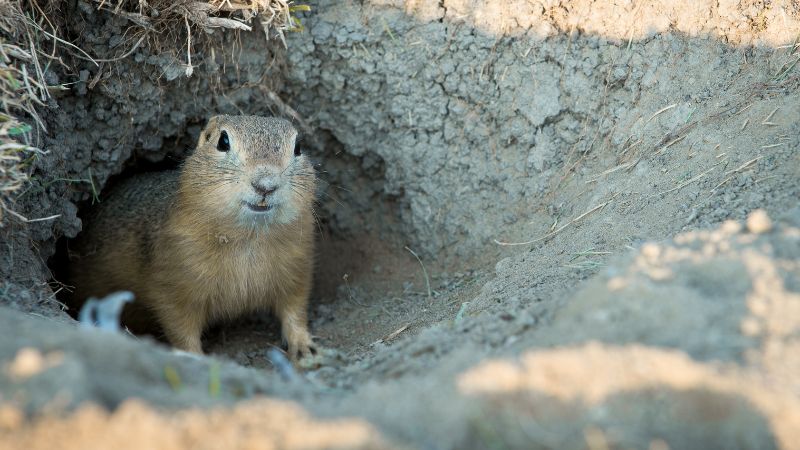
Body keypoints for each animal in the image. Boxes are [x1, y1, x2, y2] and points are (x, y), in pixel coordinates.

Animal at [69, 115, 318, 358]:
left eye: (298, 147)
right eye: (223, 142)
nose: (265, 185)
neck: (249, 237)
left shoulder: (297, 267)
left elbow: (295, 307)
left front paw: (304, 346)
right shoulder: (174, 281)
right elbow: (180, 326)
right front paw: (195, 357)